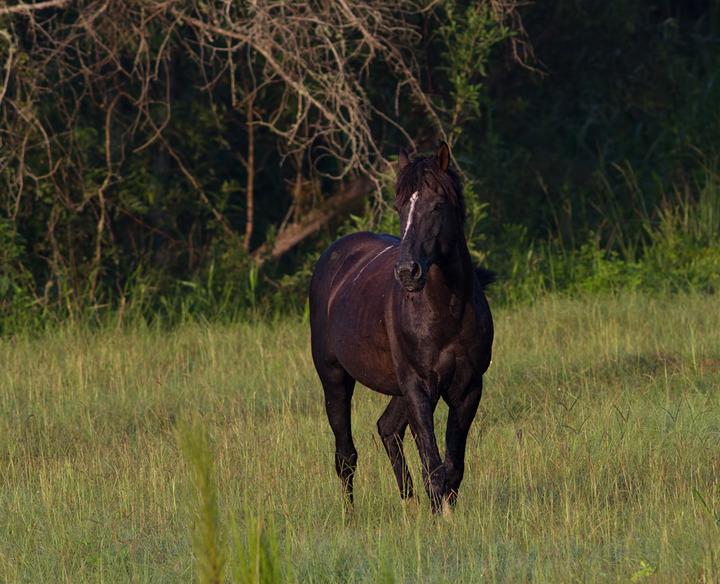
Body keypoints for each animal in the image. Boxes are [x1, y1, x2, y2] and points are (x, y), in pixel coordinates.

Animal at [308, 142, 494, 514]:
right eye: (399, 207)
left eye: (438, 205)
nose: (408, 271)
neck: (447, 311)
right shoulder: (419, 388)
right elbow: (434, 468)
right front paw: (441, 518)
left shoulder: (467, 389)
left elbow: (453, 467)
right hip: (334, 378)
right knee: (345, 455)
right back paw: (351, 516)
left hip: (397, 387)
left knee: (387, 429)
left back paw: (408, 504)